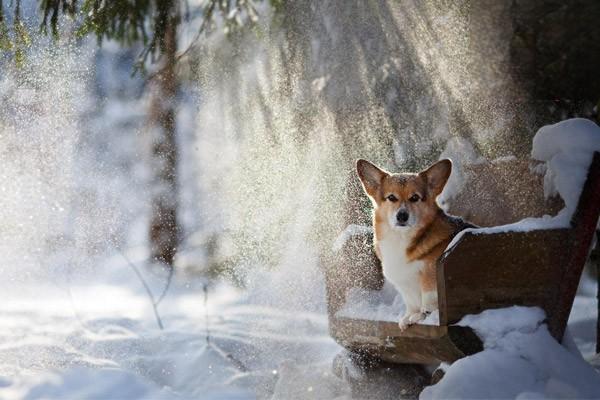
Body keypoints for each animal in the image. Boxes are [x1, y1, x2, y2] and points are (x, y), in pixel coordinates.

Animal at [356, 158, 474, 330]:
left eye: (415, 198)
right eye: (392, 197)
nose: (402, 216)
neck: (401, 237)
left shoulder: (431, 271)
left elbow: (429, 295)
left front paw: (424, 314)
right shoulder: (405, 285)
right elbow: (411, 302)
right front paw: (410, 316)